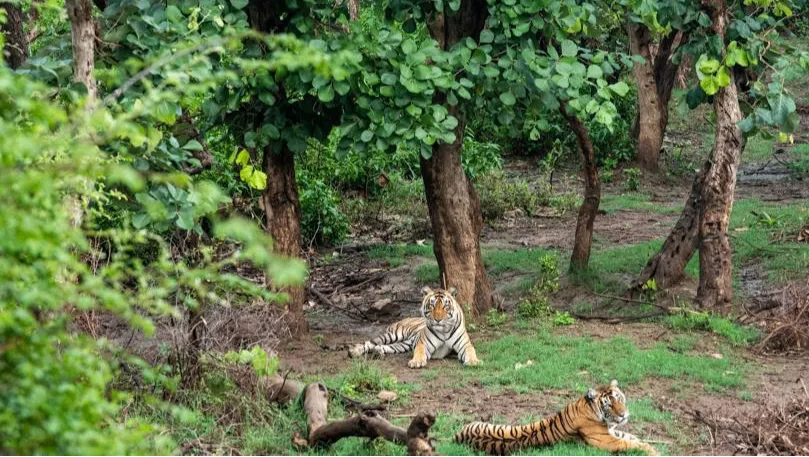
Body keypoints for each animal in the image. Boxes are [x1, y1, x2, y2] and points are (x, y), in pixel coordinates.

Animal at [348, 286, 480, 369]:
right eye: (431, 305)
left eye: (445, 306)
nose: (438, 320)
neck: (443, 331)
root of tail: (402, 319)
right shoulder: (423, 344)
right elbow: (419, 352)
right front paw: (416, 362)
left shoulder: (465, 345)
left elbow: (471, 351)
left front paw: (473, 361)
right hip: (393, 335)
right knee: (370, 343)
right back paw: (354, 351)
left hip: (404, 344)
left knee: (384, 346)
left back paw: (377, 352)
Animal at [454, 380, 659, 456]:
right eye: (609, 404)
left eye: (620, 398)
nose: (623, 414)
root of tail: (456, 436)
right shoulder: (607, 441)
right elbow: (632, 444)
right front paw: (653, 451)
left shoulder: (613, 432)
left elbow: (634, 438)